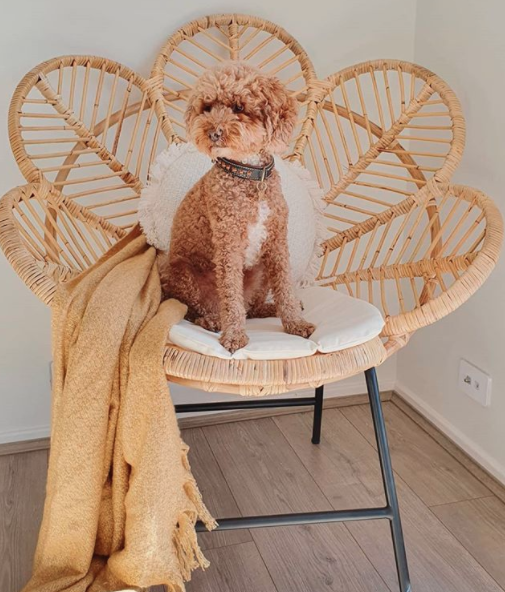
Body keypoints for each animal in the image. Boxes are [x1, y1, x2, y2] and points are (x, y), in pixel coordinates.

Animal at [158, 61, 316, 352]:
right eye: (207, 107)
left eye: (239, 107)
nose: (212, 133)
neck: (249, 174)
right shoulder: (228, 243)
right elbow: (231, 295)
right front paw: (234, 336)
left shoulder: (276, 242)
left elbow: (285, 287)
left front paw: (295, 323)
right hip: (179, 273)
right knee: (199, 310)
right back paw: (213, 321)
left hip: (261, 269)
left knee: (250, 308)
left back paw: (269, 309)